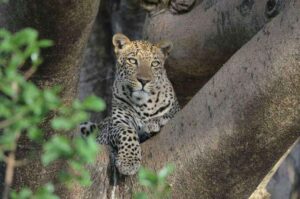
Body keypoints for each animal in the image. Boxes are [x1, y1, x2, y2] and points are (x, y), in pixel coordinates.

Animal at [79, 33, 180, 176]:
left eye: (155, 63)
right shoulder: (115, 126)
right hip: (86, 125)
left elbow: (167, 115)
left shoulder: (176, 110)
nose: (144, 80)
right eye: (132, 61)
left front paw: (154, 123)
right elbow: (127, 132)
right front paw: (128, 162)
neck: (144, 105)